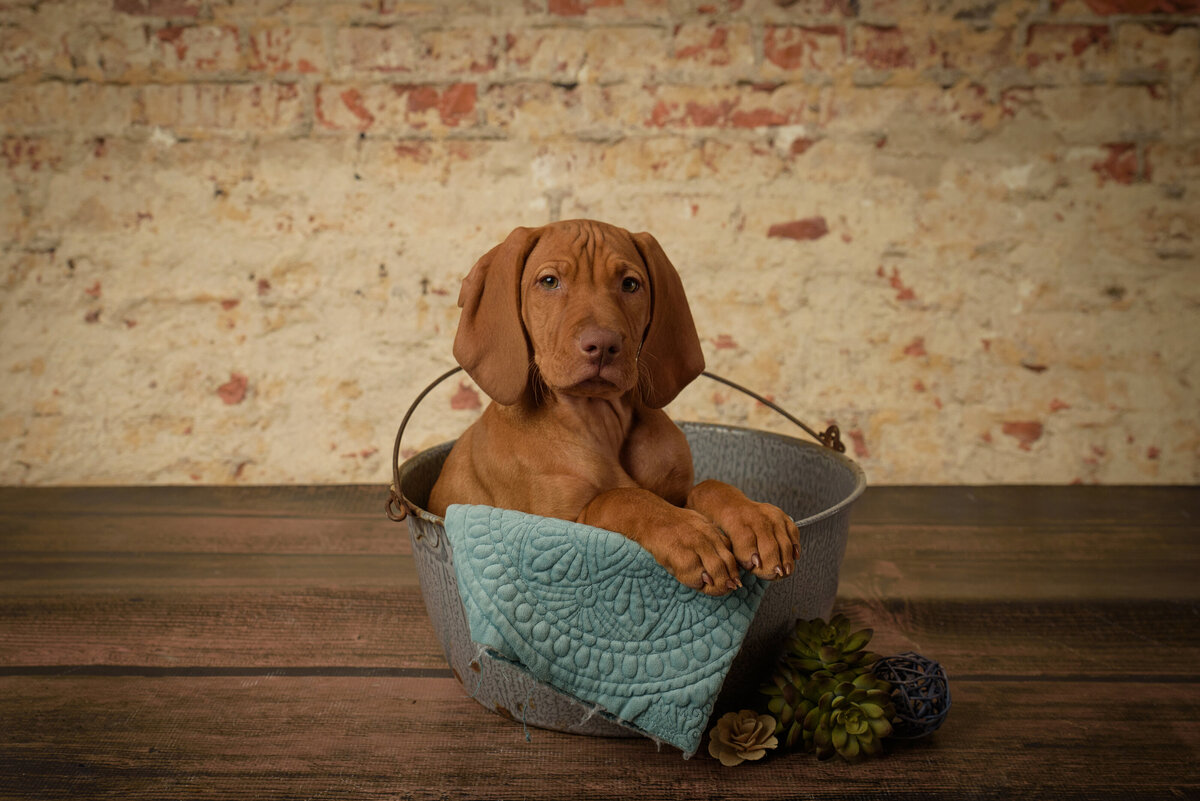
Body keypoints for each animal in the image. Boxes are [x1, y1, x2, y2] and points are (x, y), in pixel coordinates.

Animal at [427, 219, 801, 594]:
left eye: (630, 284)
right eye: (549, 282)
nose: (603, 345)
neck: (600, 422)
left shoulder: (677, 492)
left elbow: (707, 485)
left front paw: (755, 519)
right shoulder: (554, 527)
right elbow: (620, 498)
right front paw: (689, 535)